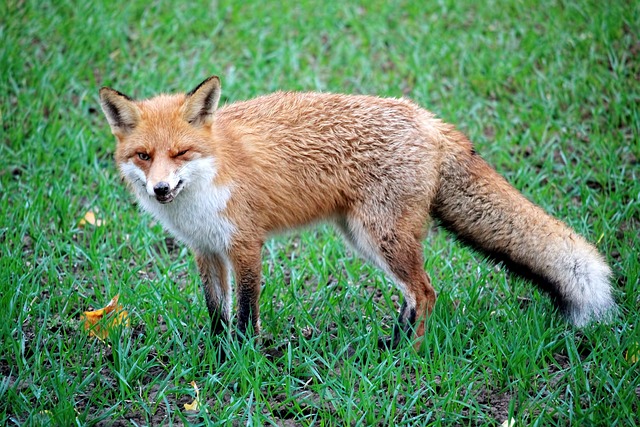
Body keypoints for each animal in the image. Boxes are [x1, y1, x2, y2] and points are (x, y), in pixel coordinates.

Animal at [99, 76, 616, 352]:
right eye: (144, 156)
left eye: (181, 153)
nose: (160, 189)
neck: (205, 184)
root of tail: (427, 118)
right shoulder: (207, 250)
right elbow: (215, 312)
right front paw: (218, 355)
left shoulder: (245, 245)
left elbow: (245, 314)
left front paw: (244, 360)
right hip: (364, 239)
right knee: (412, 294)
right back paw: (392, 343)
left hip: (380, 237)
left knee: (426, 291)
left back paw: (410, 354)